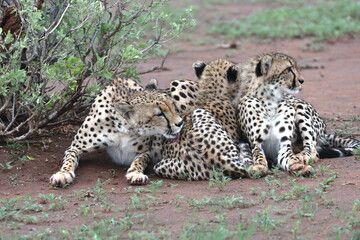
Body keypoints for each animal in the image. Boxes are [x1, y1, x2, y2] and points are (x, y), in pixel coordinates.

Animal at [50, 78, 183, 187]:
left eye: (173, 105)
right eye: (159, 114)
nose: (180, 123)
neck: (122, 127)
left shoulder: (145, 152)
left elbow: (139, 161)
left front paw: (135, 173)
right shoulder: (75, 148)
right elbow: (69, 160)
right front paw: (62, 174)